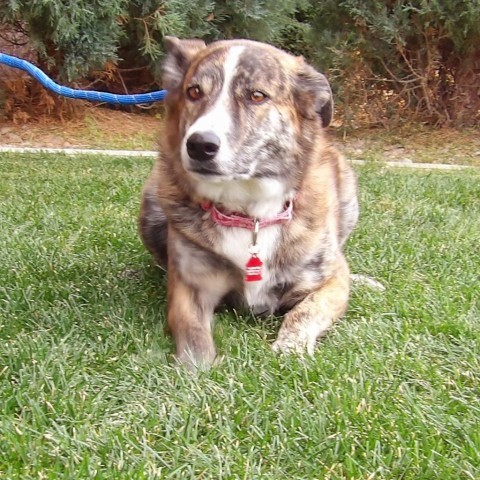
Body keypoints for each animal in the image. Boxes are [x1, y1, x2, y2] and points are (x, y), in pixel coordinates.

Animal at [137, 36, 358, 368]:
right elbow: (192, 331)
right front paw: (196, 368)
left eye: (256, 96)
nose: (199, 145)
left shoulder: (332, 282)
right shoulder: (190, 288)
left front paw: (290, 348)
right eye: (194, 92)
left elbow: (304, 312)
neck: (249, 213)